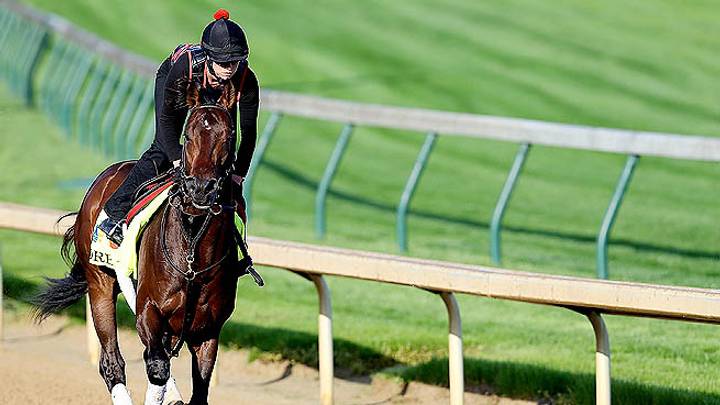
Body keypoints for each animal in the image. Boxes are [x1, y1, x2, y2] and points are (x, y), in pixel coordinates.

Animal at [32, 81, 246, 405]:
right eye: (188, 134)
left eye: (229, 136)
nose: (200, 188)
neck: (192, 252)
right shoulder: (149, 311)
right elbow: (156, 366)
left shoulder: (208, 331)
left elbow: (198, 389)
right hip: (100, 285)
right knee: (112, 362)